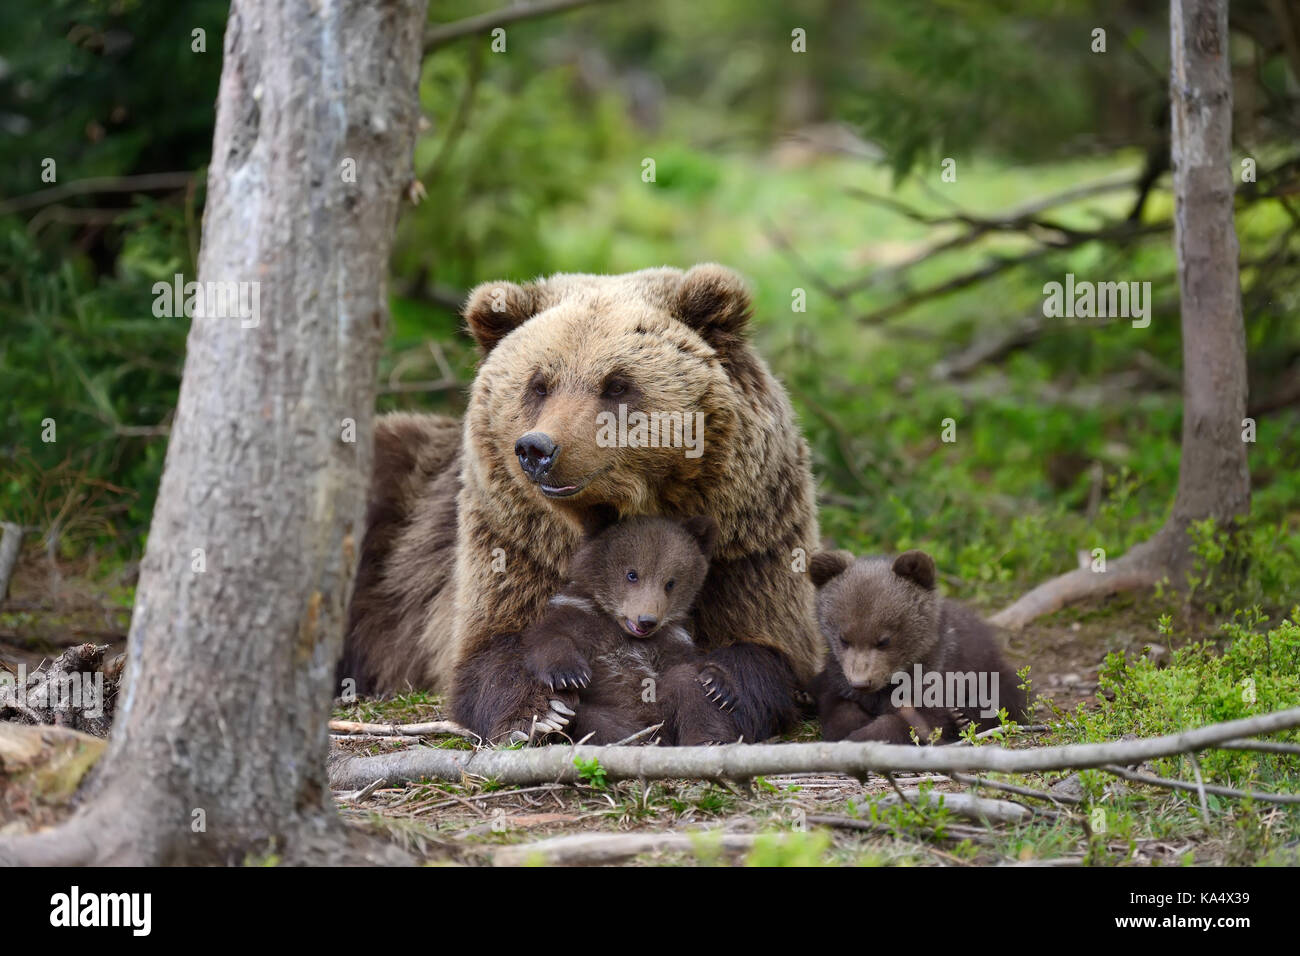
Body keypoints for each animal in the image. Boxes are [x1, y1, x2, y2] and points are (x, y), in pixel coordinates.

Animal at [516, 513, 741, 746]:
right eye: (632, 574)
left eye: (670, 583)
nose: (647, 620)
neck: (622, 630)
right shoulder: (578, 614)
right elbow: (549, 638)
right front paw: (569, 673)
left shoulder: (670, 639)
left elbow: (691, 663)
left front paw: (720, 684)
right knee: (598, 722)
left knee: (687, 682)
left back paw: (710, 740)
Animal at [808, 549, 1029, 744]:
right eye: (843, 638)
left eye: (884, 640)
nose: (861, 682)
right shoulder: (837, 680)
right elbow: (838, 709)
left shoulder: (936, 676)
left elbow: (917, 721)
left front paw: (861, 737)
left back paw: (962, 718)